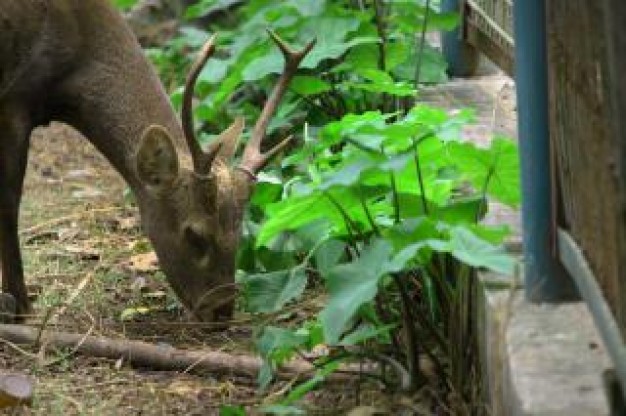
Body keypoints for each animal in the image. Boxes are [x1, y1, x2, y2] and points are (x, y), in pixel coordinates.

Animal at [0, 0, 312, 322]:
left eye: (240, 232)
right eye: (195, 235)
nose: (221, 310)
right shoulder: (15, 98)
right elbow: (9, 201)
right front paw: (21, 307)